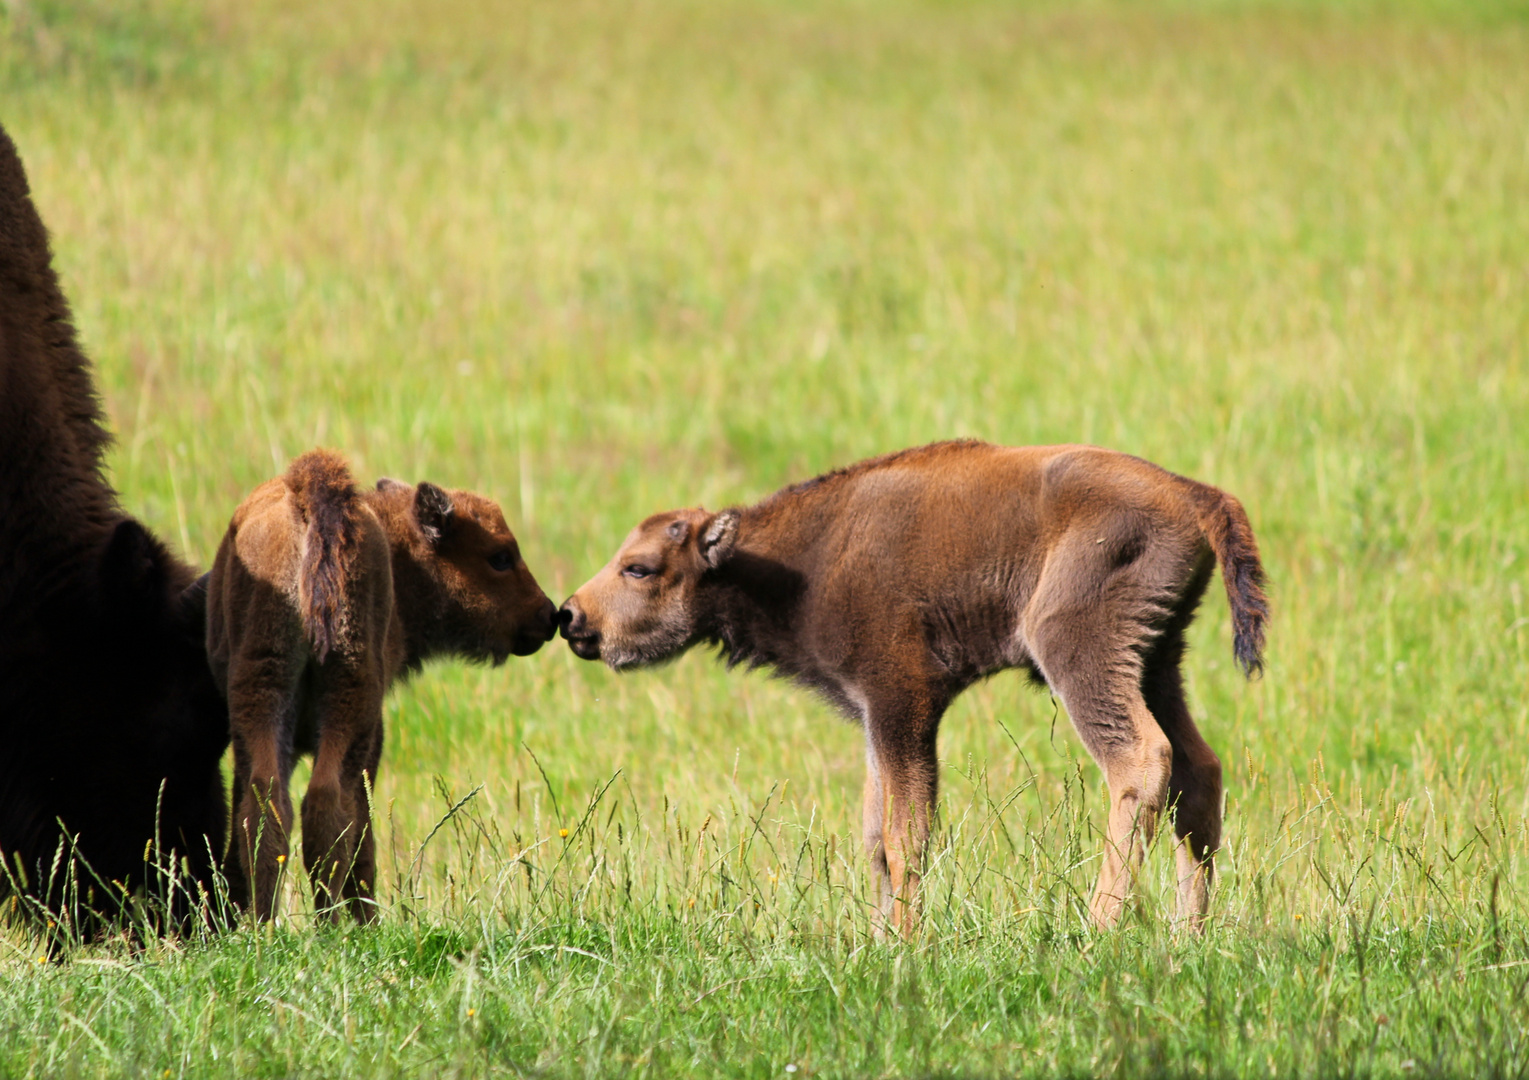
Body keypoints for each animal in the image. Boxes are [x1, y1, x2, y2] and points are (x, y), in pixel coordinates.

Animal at [206, 449, 559, 923]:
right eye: (500, 556)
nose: (549, 615)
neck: (399, 551)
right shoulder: (373, 736)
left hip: (263, 685)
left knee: (268, 805)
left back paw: (265, 924)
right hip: (352, 698)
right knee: (326, 803)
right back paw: (340, 924)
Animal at [559, 440, 1266, 930]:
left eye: (639, 567)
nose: (572, 616)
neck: (790, 563)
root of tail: (1193, 493)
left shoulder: (902, 703)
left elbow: (905, 837)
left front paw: (904, 943)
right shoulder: (874, 718)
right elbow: (876, 840)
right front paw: (876, 942)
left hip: (1079, 651)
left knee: (1141, 761)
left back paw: (1098, 930)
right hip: (1159, 660)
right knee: (1198, 772)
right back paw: (1186, 935)